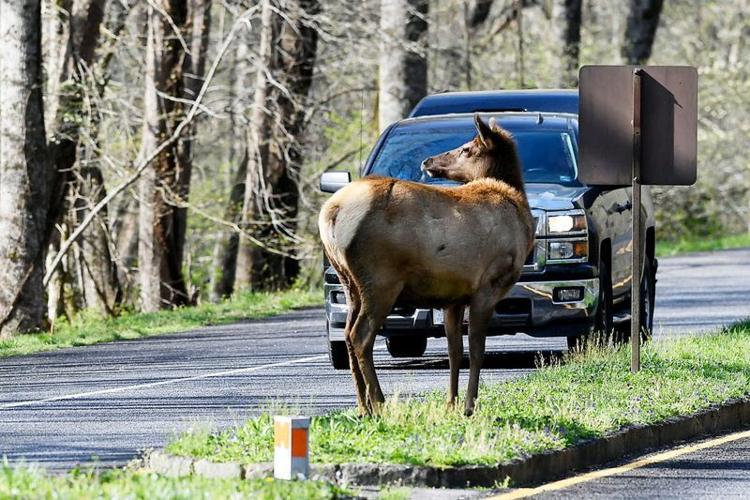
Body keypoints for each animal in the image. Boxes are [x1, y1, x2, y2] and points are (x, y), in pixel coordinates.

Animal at [318, 113, 534, 417]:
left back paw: (363, 407)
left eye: (465, 149)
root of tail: (331, 214)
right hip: (381, 279)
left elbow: (455, 351)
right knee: (360, 336)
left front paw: (451, 403)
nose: (427, 161)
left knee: (348, 335)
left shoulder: (454, 297)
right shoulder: (488, 285)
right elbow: (477, 349)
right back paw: (380, 404)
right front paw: (469, 406)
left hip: (348, 283)